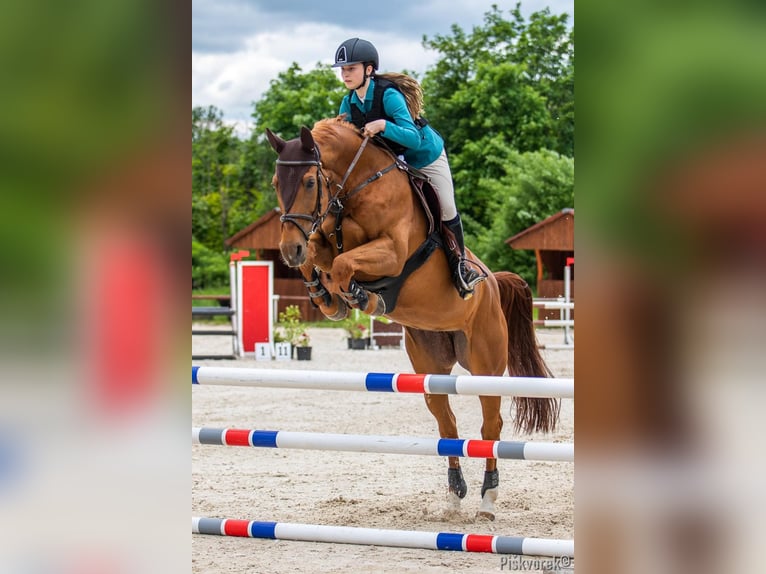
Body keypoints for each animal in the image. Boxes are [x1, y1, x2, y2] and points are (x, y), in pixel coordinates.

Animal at [268, 118, 560, 520]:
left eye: (310, 182)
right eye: (275, 183)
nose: (287, 249)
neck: (356, 187)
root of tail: (493, 283)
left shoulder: (391, 253)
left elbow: (344, 264)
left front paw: (362, 297)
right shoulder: (325, 237)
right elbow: (322, 257)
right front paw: (328, 297)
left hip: (485, 363)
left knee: (491, 426)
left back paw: (487, 500)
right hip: (429, 367)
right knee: (447, 424)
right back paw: (454, 495)